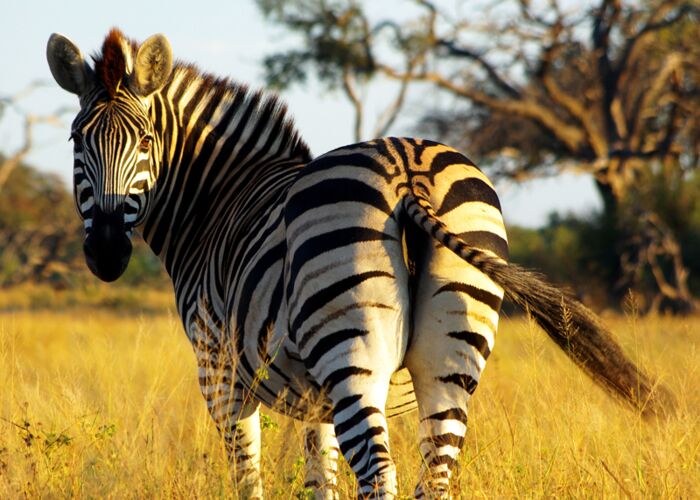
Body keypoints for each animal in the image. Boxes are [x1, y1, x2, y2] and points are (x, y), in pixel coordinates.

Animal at [46, 29, 672, 499]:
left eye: (146, 142)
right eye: (77, 141)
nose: (106, 252)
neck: (217, 199)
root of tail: (409, 171)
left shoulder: (219, 374)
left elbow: (248, 479)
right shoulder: (313, 401)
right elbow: (319, 480)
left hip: (351, 356)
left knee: (380, 476)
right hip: (448, 357)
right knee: (434, 475)